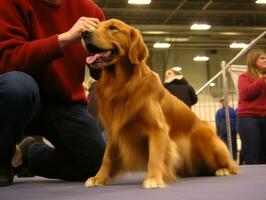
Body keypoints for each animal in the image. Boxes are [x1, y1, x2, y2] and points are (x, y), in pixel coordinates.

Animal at [81, 18, 239, 189]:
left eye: (113, 27)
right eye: (97, 25)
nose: (84, 32)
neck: (122, 85)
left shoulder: (157, 128)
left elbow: (155, 156)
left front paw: (153, 178)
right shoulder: (115, 130)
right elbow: (107, 158)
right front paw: (98, 178)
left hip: (205, 140)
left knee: (232, 164)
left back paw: (223, 169)